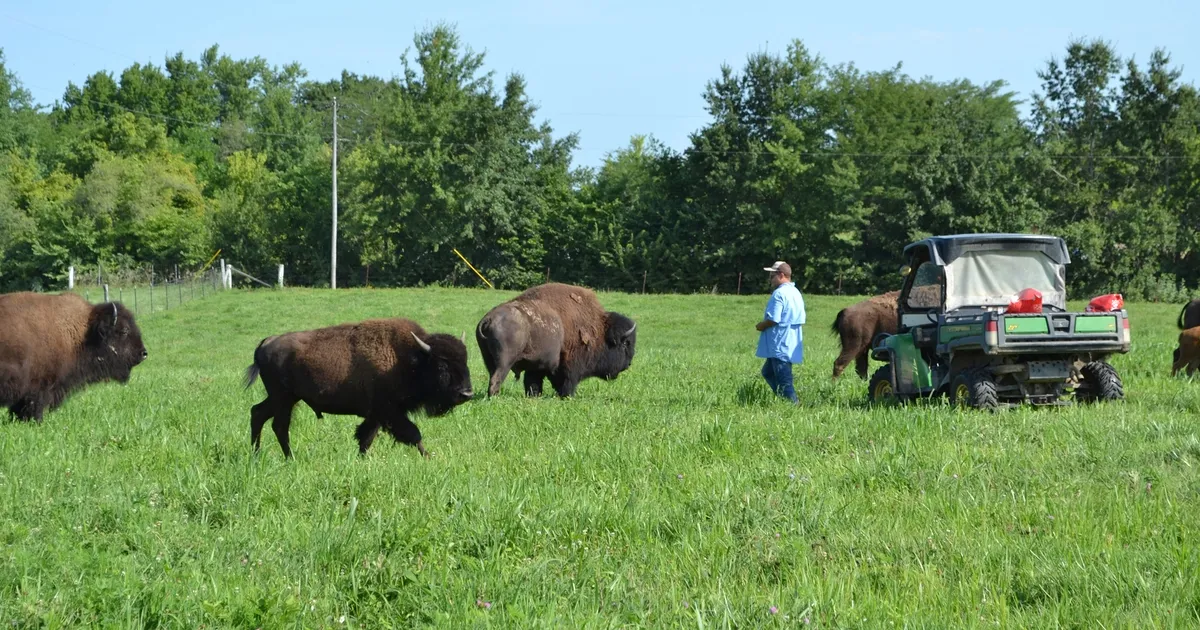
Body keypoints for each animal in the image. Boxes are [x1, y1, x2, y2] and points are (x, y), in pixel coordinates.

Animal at [243, 318, 474, 459]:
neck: (408, 358)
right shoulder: (389, 411)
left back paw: (256, 455)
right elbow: (413, 434)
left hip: (284, 398)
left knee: (258, 413)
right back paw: (290, 458)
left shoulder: (377, 414)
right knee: (279, 426)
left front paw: (361, 459)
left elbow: (366, 437)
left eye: (465, 361)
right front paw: (428, 457)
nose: (466, 393)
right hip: (283, 398)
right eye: (442, 365)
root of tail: (266, 342)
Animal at [476, 282, 637, 398]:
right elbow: (568, 382)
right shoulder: (570, 366)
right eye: (625, 343)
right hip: (504, 362)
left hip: (489, 360)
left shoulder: (536, 366)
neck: (599, 330)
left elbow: (533, 382)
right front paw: (567, 396)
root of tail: (488, 320)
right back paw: (495, 397)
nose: (629, 364)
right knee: (496, 379)